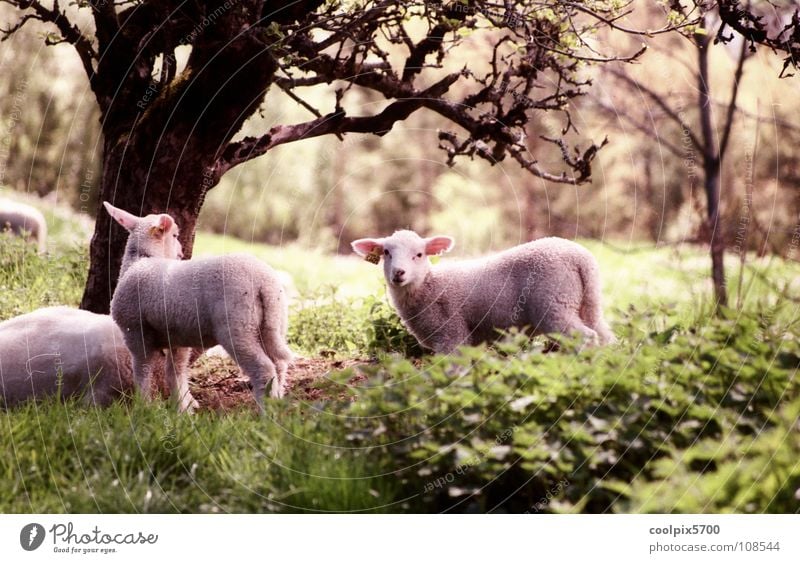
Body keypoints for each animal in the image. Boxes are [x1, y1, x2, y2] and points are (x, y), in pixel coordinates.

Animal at [104, 200, 294, 412]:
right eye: (175, 236)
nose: (181, 253)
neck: (141, 260)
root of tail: (264, 281)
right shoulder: (177, 337)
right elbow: (175, 371)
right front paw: (183, 408)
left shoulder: (135, 331)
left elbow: (143, 370)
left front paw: (144, 406)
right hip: (273, 323)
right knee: (279, 364)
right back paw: (277, 403)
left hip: (238, 327)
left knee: (264, 368)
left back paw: (265, 412)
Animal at [352, 228, 620, 352]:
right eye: (387, 252)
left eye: (419, 255)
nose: (399, 273)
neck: (428, 286)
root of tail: (581, 258)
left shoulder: (451, 334)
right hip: (585, 301)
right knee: (606, 336)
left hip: (554, 304)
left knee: (585, 337)